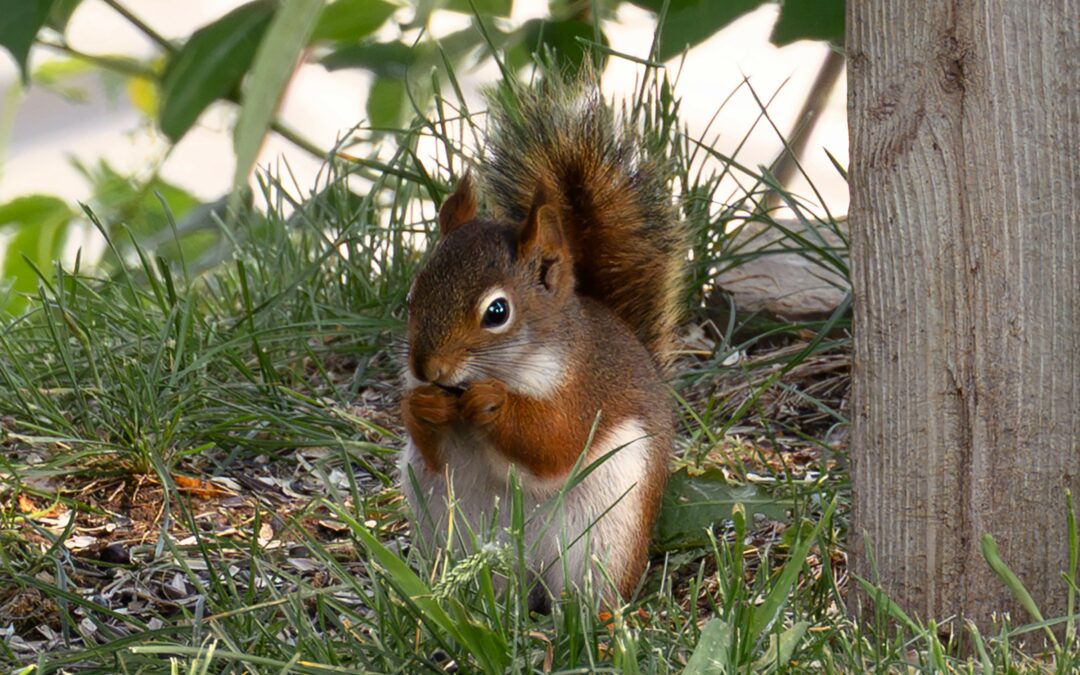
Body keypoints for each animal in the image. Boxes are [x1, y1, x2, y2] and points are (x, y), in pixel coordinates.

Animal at [399, 73, 685, 608]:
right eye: (412, 293)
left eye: (497, 312)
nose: (427, 369)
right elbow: (433, 452)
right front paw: (421, 405)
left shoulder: (585, 392)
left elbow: (555, 442)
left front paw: (491, 402)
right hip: (452, 527)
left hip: (606, 535)